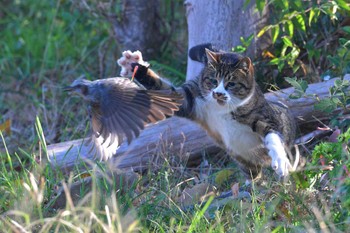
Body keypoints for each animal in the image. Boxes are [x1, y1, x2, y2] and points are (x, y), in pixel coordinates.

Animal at [117, 44, 296, 181]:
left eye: (231, 84)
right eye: (213, 81)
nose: (218, 93)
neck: (222, 109)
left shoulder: (264, 115)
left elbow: (272, 134)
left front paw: (280, 159)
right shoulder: (191, 98)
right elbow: (166, 90)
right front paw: (135, 66)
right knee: (253, 174)